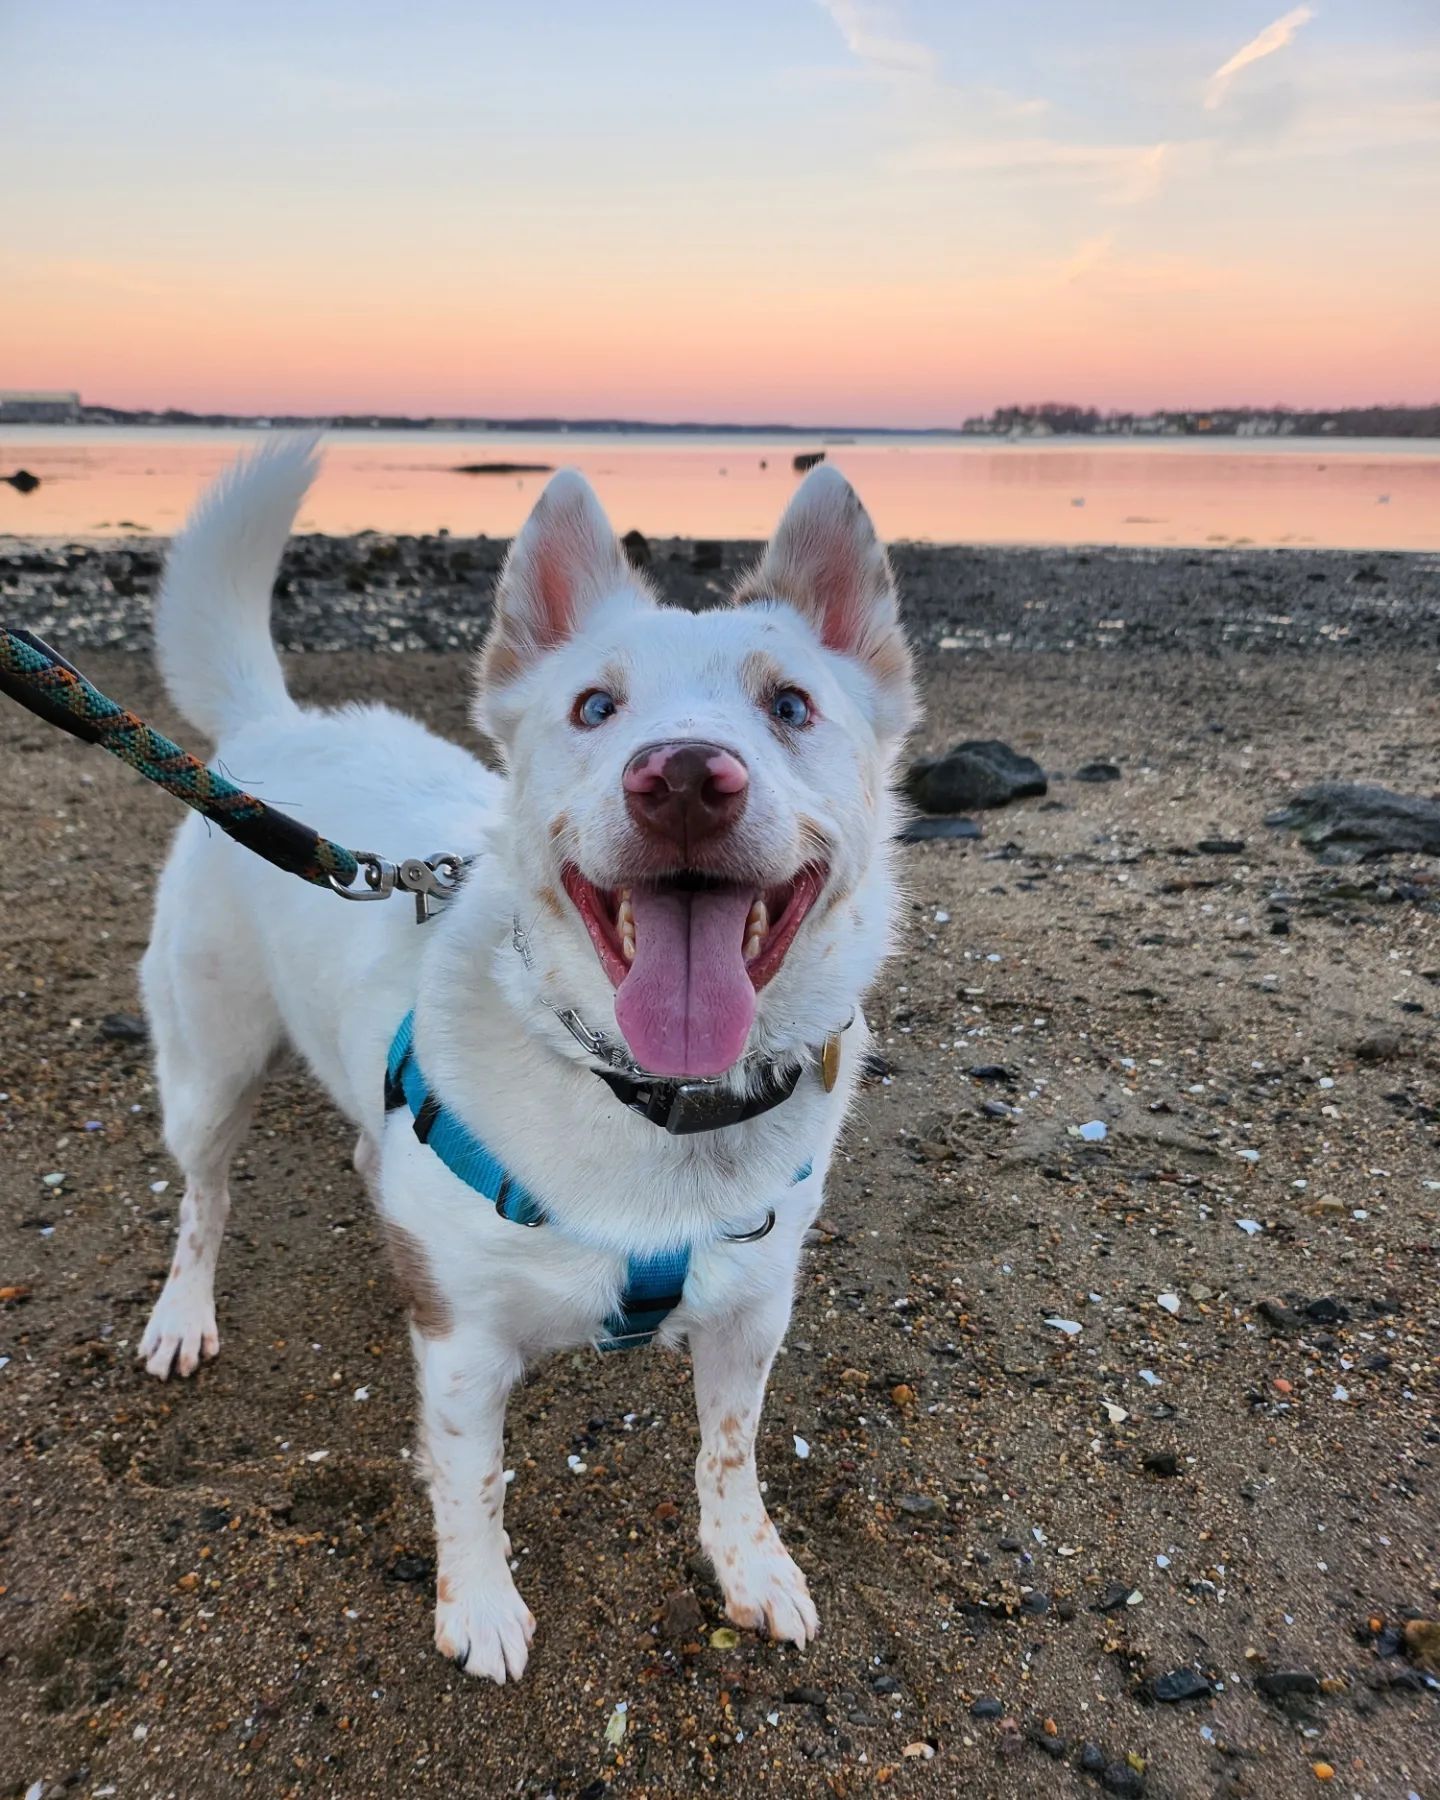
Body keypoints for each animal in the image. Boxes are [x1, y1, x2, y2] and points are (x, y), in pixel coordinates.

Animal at [140, 442, 918, 1677]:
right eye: (593, 707)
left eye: (790, 705)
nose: (684, 777)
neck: (646, 1096)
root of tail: (275, 729)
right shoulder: (464, 1351)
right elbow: (471, 1481)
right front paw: (481, 1608)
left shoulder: (751, 1312)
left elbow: (731, 1453)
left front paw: (749, 1567)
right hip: (207, 1067)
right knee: (203, 1200)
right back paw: (181, 1315)